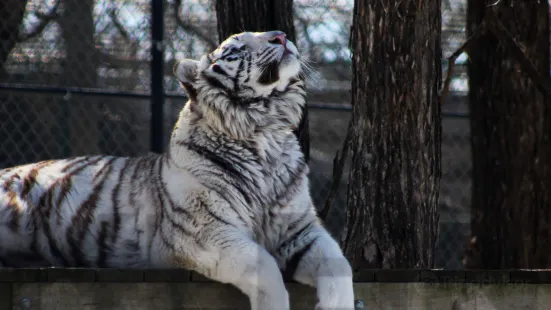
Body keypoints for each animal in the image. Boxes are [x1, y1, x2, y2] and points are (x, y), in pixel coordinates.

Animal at [0, 31, 356, 310]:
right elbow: (265, 266)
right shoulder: (206, 234)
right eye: (235, 49)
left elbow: (339, 264)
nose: (281, 36)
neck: (263, 132)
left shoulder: (299, 230)